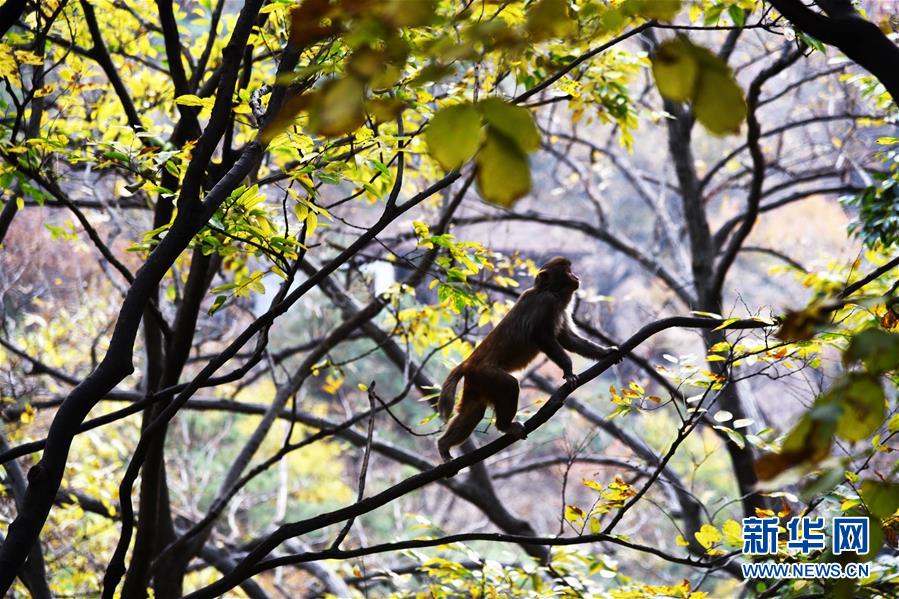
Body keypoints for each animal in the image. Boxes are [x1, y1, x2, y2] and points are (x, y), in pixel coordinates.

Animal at [440, 258, 624, 464]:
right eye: (567, 272)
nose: (576, 276)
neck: (548, 291)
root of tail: (468, 363)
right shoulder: (547, 304)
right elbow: (542, 337)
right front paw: (568, 371)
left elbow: (566, 338)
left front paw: (605, 352)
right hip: (486, 374)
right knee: (510, 385)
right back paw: (504, 426)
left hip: (477, 381)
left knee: (473, 411)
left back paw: (443, 445)